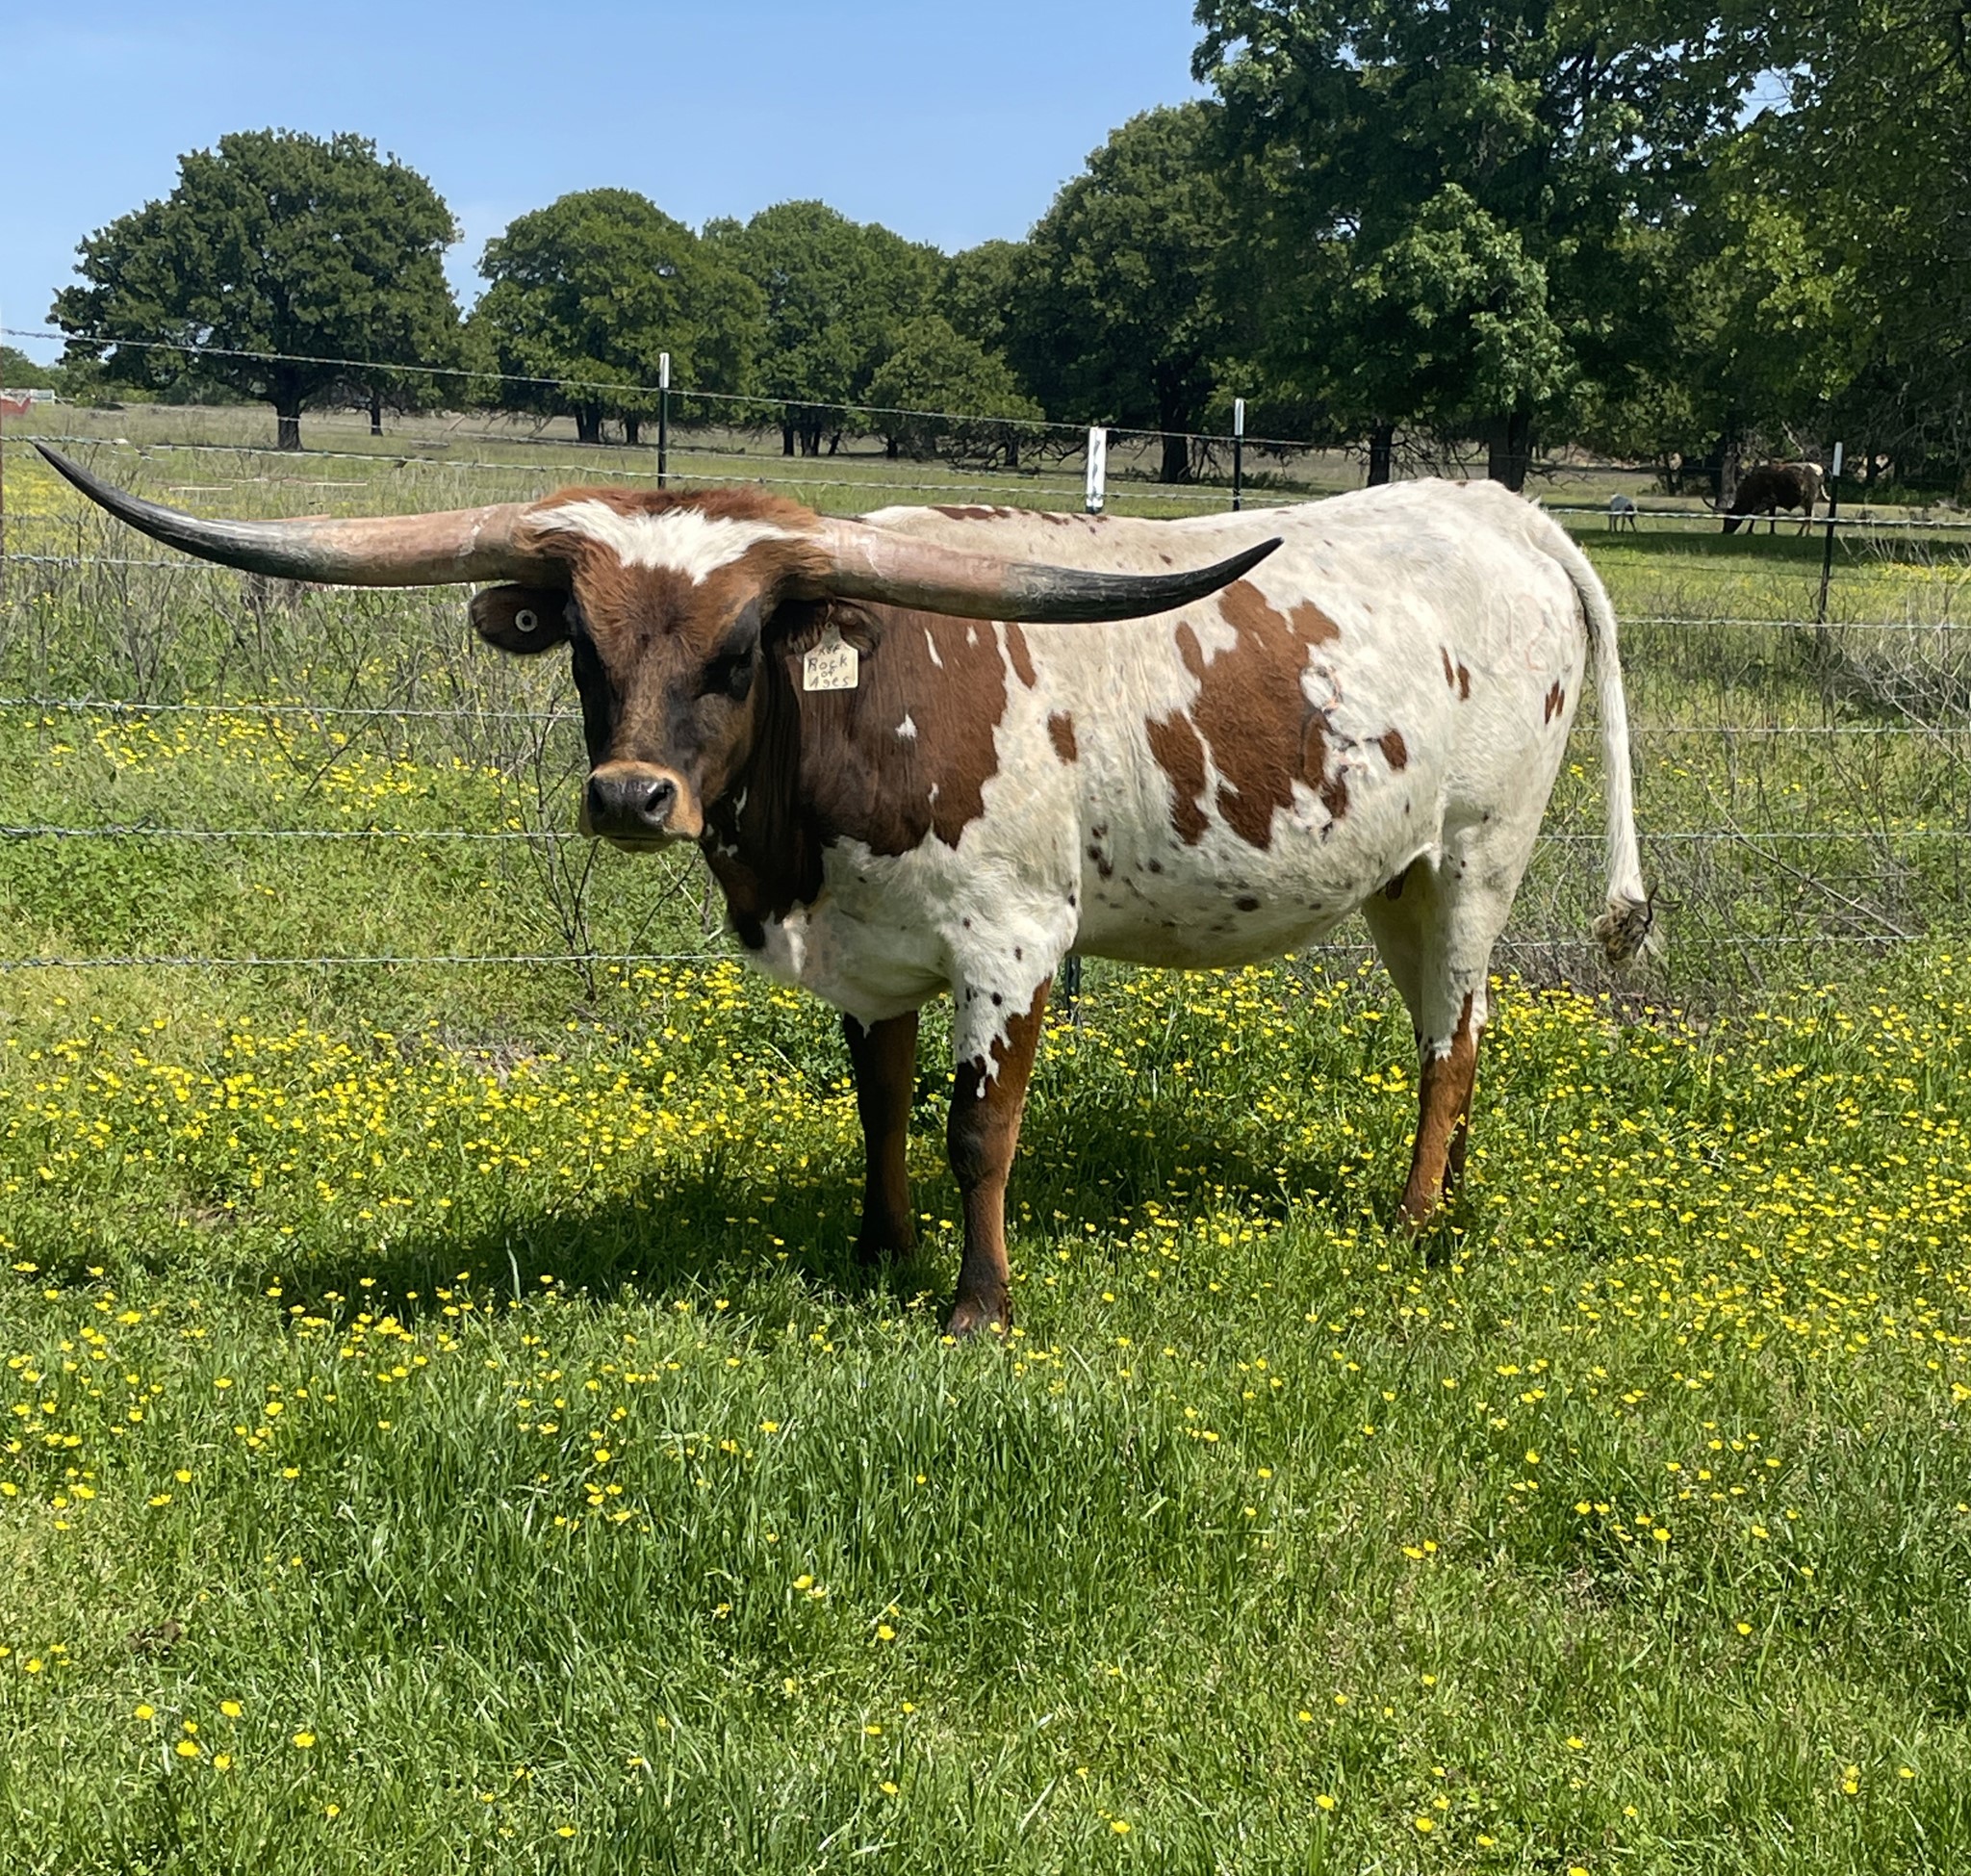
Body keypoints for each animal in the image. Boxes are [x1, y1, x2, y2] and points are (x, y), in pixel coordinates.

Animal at [39, 446, 1653, 1338]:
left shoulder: (1013, 944)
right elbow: (877, 1109)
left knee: (1454, 1038)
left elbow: (975, 1135)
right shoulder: (870, 953)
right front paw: (878, 1250)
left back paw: (1420, 1218)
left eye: (741, 651)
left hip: (1475, 856)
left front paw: (977, 1306)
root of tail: (1497, 506)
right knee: (1451, 1027)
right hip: (1393, 873)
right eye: (580, 646)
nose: (631, 800)